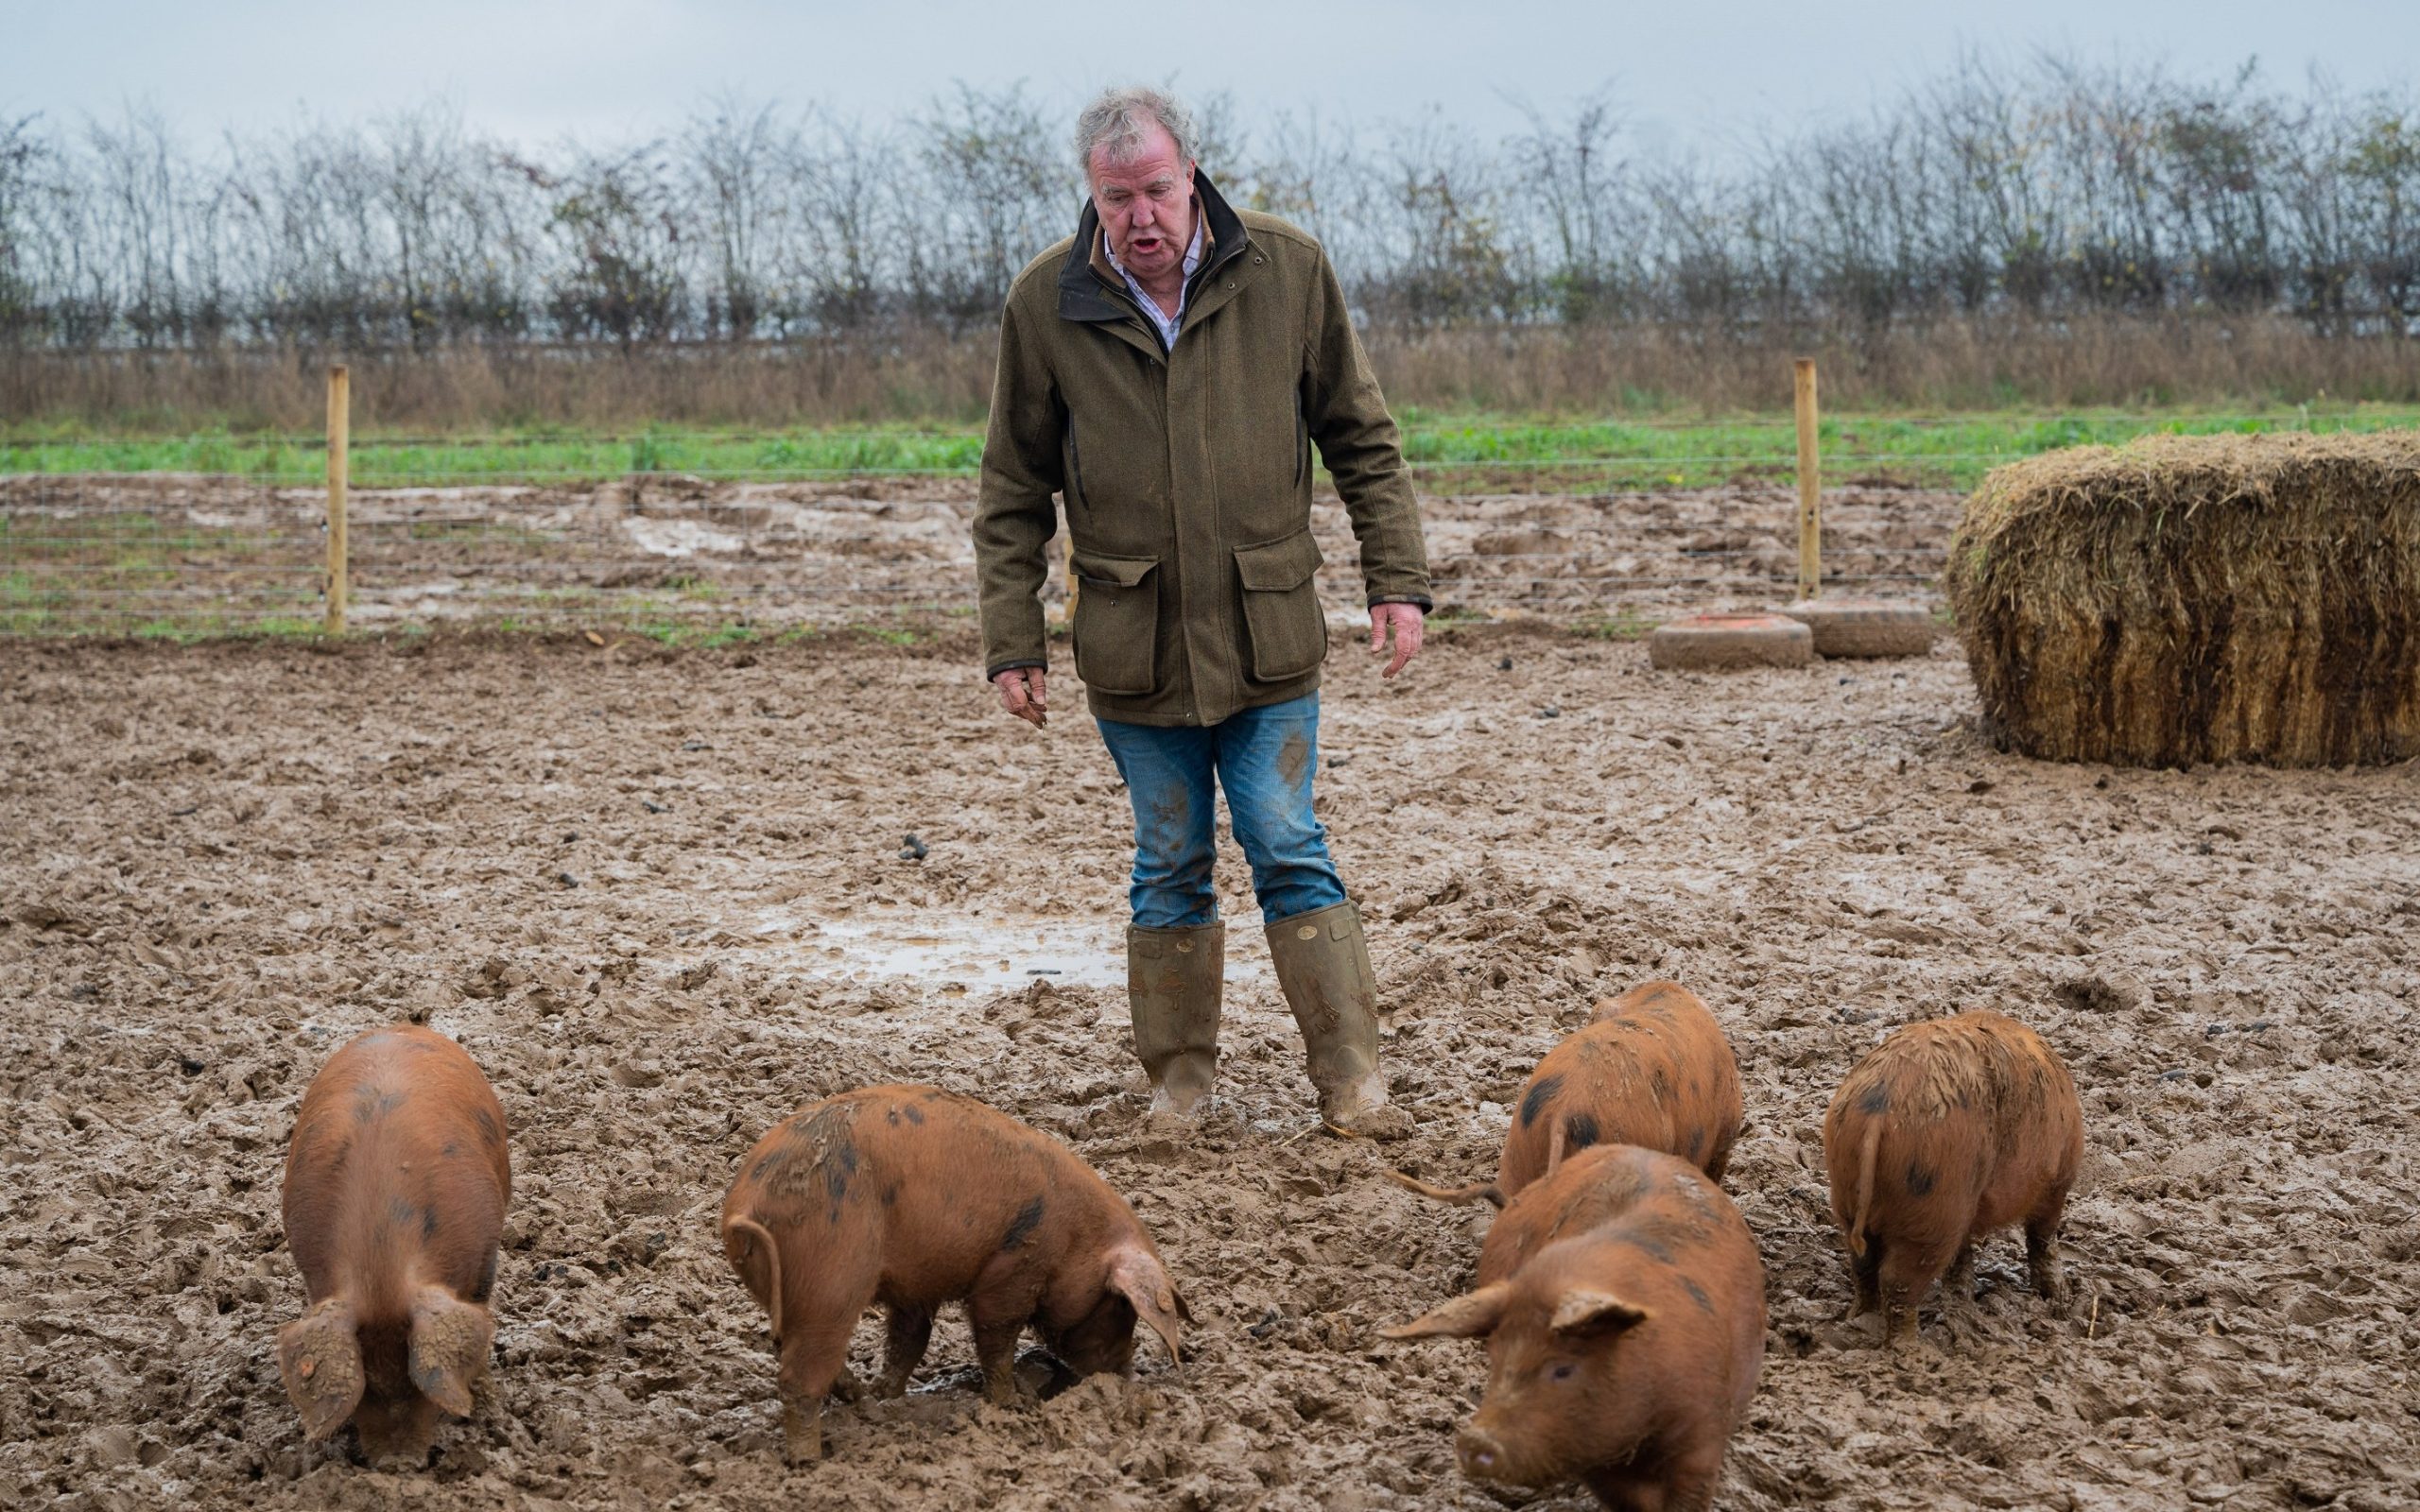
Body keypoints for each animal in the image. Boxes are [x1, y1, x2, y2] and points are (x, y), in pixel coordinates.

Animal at [277, 1021, 510, 1461]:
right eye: (366, 1389)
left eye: (416, 1383)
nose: (396, 1462)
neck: (380, 1262)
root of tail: (399, 1027)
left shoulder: (487, 1250)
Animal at [716, 1083, 1190, 1461]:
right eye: (1121, 1308)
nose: (1126, 1376)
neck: (1077, 1239)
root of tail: (745, 1205)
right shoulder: (1015, 1271)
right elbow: (995, 1339)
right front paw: (1013, 1405)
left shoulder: (914, 1287)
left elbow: (910, 1339)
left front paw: (888, 1395)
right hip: (829, 1282)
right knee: (798, 1376)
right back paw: (810, 1461)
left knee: (793, 1349)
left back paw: (862, 1402)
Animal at [1820, 1005, 2090, 1335]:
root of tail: (1880, 1110)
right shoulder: (2059, 1178)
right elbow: (2042, 1237)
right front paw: (2056, 1301)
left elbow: (1962, 1258)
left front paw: (1962, 1301)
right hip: (1935, 1198)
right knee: (1898, 1281)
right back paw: (1912, 1345)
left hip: (1846, 1187)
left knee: (1863, 1264)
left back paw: (1859, 1320)